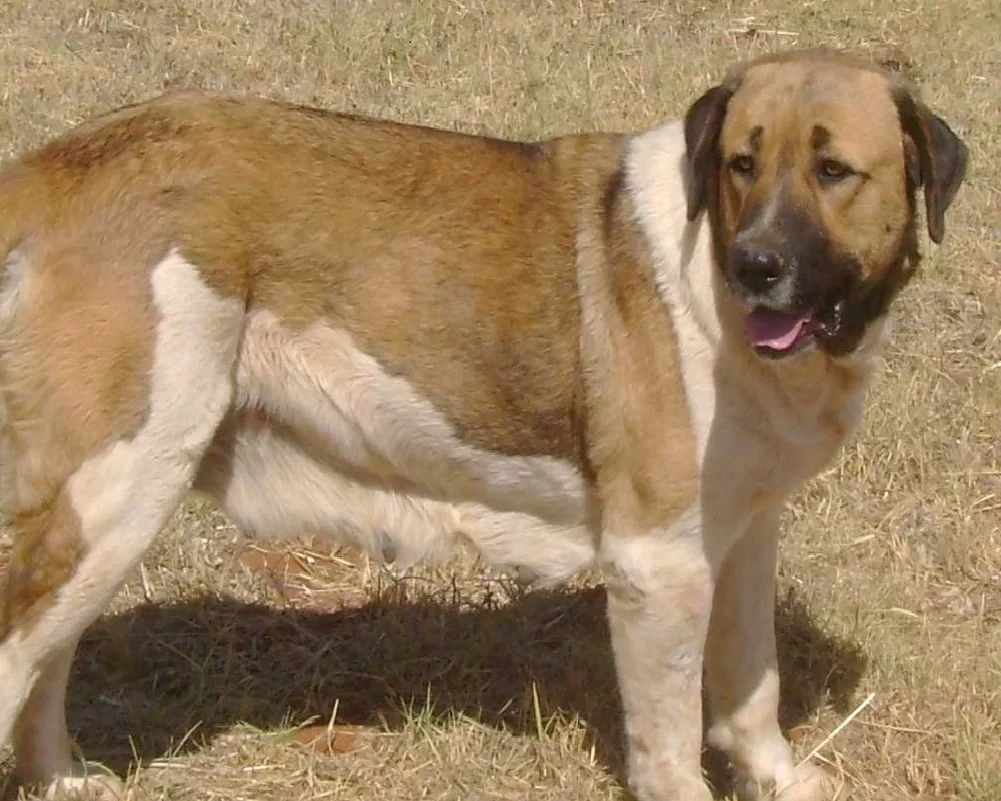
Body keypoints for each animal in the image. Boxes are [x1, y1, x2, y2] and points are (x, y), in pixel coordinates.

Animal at [0, 48, 968, 801]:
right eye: (740, 162)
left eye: (833, 171)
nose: (754, 265)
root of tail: (56, 165)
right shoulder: (657, 565)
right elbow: (667, 737)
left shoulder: (738, 532)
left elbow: (750, 682)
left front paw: (778, 775)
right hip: (121, 488)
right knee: (22, 656)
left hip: (107, 514)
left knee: (50, 657)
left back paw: (61, 776)